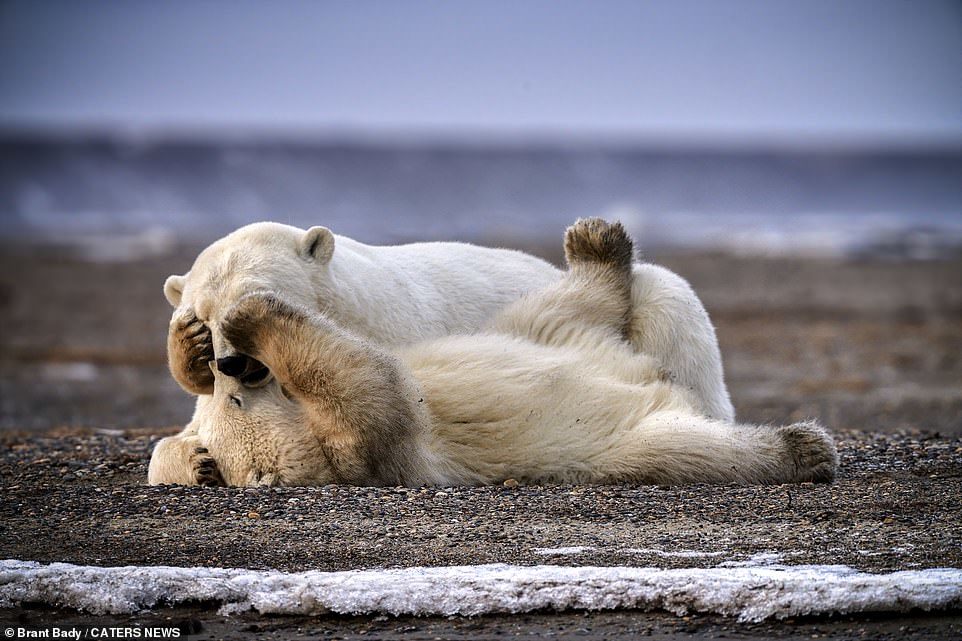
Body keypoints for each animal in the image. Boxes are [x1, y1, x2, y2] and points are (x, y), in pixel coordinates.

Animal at [148, 219, 832, 484]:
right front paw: (195, 459)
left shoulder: (400, 333)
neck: (349, 296)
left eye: (251, 290)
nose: (231, 361)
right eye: (200, 312)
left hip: (658, 318)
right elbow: (182, 431)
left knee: (666, 303)